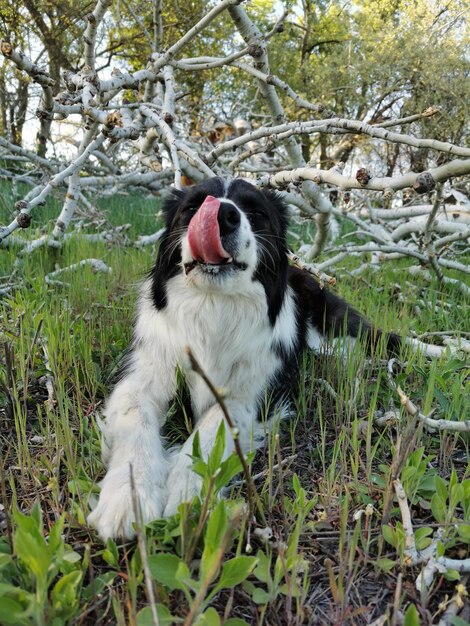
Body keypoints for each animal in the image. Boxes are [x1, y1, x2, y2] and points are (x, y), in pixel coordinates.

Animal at [88, 174, 400, 536]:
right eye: (192, 207)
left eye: (256, 212)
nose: (223, 215)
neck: (214, 306)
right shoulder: (141, 374)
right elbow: (135, 420)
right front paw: (129, 495)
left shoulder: (254, 393)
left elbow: (213, 426)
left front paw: (188, 494)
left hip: (332, 332)